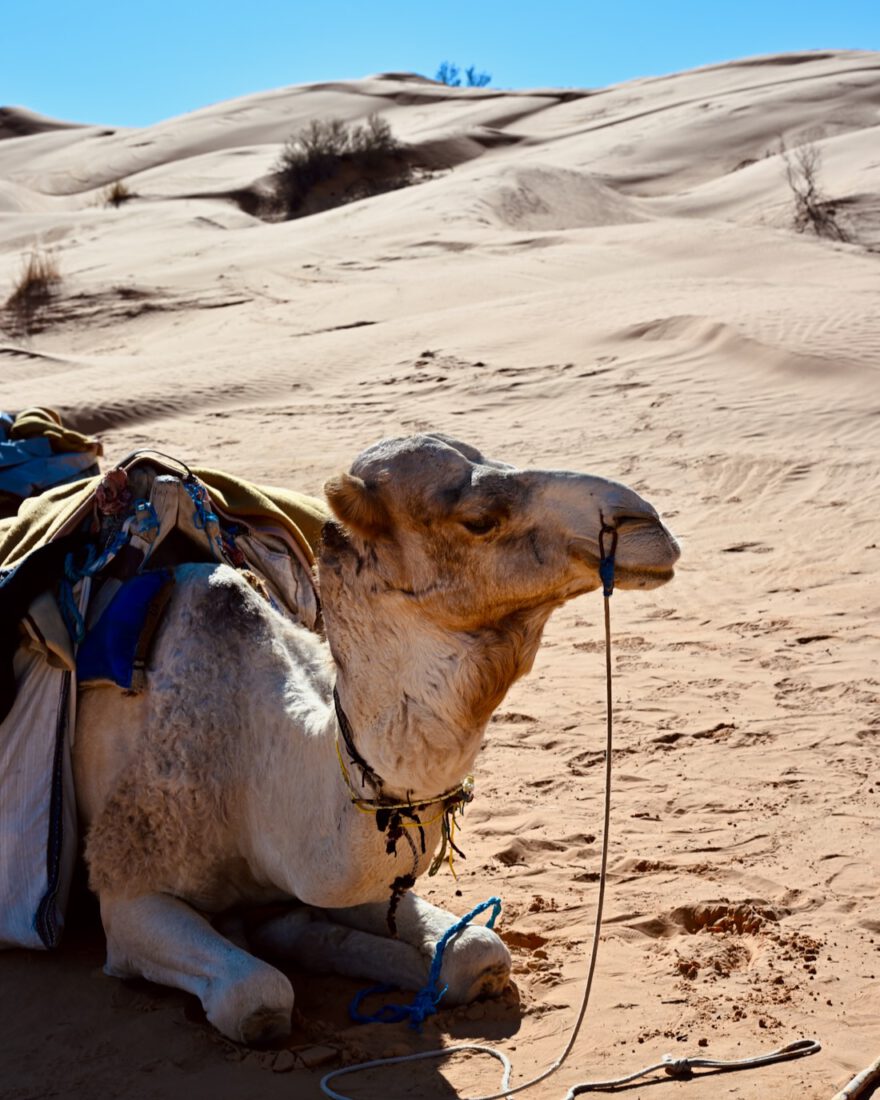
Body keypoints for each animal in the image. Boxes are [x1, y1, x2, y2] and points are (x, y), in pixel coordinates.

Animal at [72, 432, 680, 1044]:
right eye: (479, 519)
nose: (645, 522)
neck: (258, 769)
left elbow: (477, 952)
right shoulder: (128, 883)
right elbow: (258, 998)